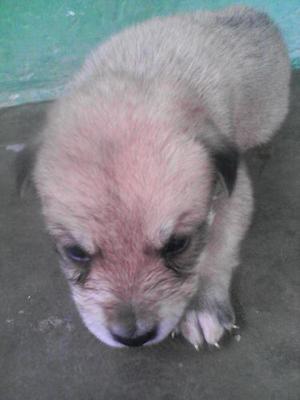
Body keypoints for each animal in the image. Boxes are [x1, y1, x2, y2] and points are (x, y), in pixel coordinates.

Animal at [17, 5, 290, 346]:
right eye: (75, 252)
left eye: (178, 244)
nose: (133, 337)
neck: (142, 71)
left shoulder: (233, 191)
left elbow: (216, 246)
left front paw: (201, 305)